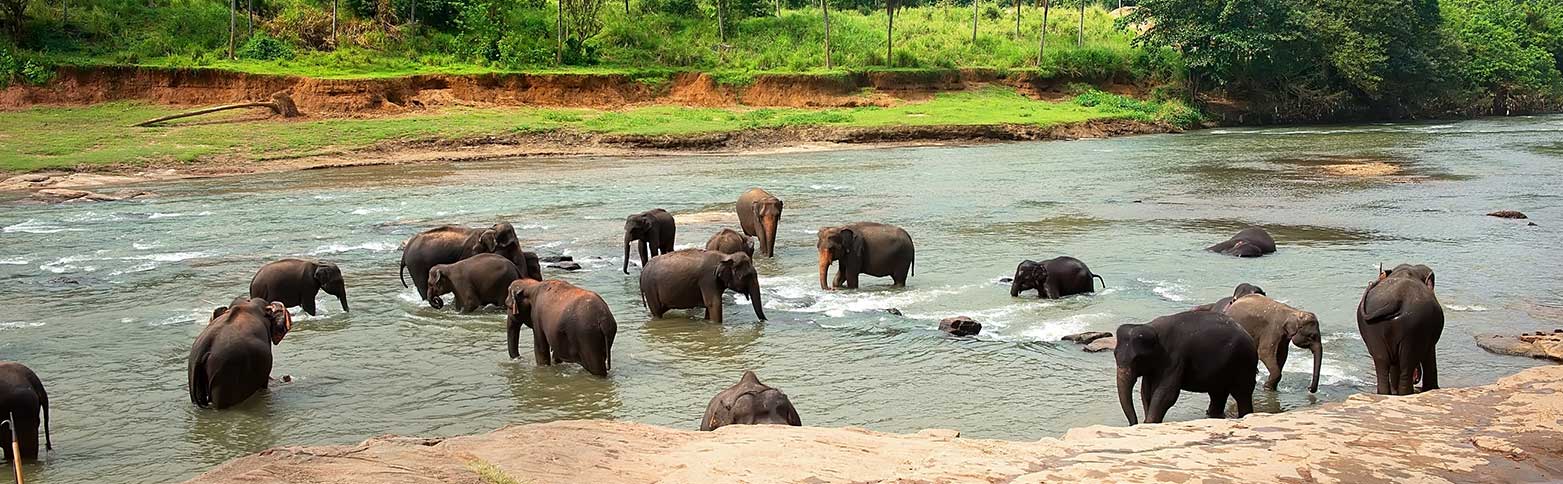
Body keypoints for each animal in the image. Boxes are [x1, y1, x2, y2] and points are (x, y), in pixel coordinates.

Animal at [637, 249, 765, 324]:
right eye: (748, 276)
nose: (763, 322)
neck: (726, 256)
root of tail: (643, 271)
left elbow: (711, 306)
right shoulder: (708, 280)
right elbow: (714, 304)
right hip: (650, 288)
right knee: (657, 310)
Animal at [1112, 310, 1256, 424]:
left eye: (1137, 359)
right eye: (1114, 354)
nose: (1134, 423)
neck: (1152, 327)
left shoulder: (1175, 359)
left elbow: (1166, 394)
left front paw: (1149, 422)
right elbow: (1146, 392)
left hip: (1244, 363)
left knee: (1242, 394)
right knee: (1217, 393)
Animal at [1356, 262, 1437, 395]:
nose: (1416, 378)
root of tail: (1396, 300)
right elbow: (1430, 353)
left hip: (1373, 329)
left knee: (1381, 361)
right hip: (1414, 327)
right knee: (1407, 364)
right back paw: (1406, 394)